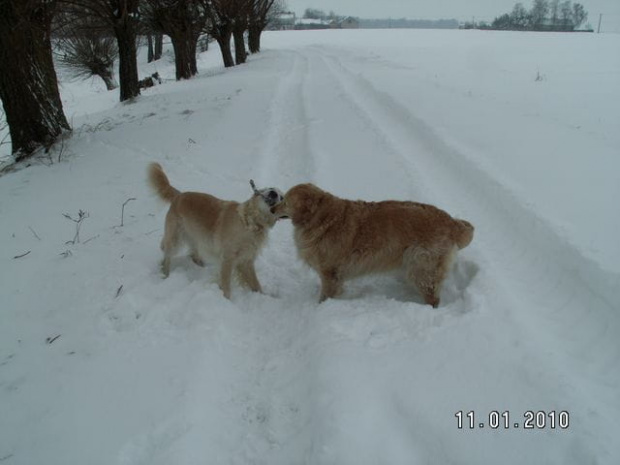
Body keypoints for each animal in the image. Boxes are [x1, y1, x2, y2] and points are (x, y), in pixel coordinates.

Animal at [148, 163, 284, 300]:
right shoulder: (228, 258)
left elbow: (255, 283)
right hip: (175, 238)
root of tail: (179, 195)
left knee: (192, 253)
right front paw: (227, 300)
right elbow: (226, 283)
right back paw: (165, 274)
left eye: (282, 197)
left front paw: (264, 296)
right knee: (167, 257)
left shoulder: (247, 260)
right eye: (271, 188)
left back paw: (200, 265)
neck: (252, 222)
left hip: (196, 236)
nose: (273, 193)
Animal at [272, 183, 474, 306]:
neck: (322, 218)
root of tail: (451, 221)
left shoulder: (331, 273)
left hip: (422, 265)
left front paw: (321, 307)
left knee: (433, 299)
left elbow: (326, 295)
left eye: (285, 201)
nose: (272, 209)